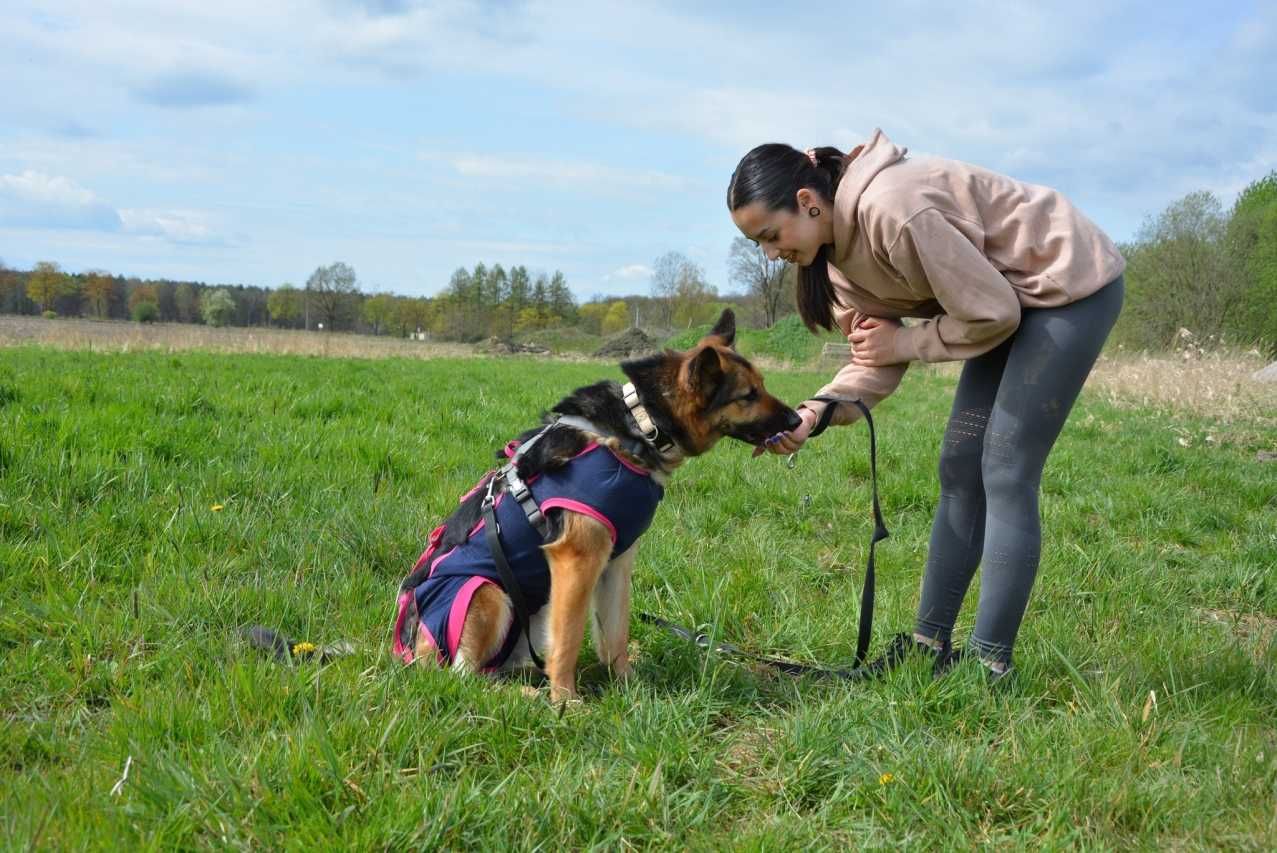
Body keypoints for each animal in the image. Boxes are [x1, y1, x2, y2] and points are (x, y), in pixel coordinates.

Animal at [388, 310, 796, 704]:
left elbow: (615, 634)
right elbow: (567, 642)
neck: (640, 425)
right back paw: (527, 697)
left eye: (762, 385)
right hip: (484, 592)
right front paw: (566, 703)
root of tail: (406, 649)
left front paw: (629, 689)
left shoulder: (616, 562)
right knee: (463, 678)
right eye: (747, 395)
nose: (796, 420)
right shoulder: (576, 560)